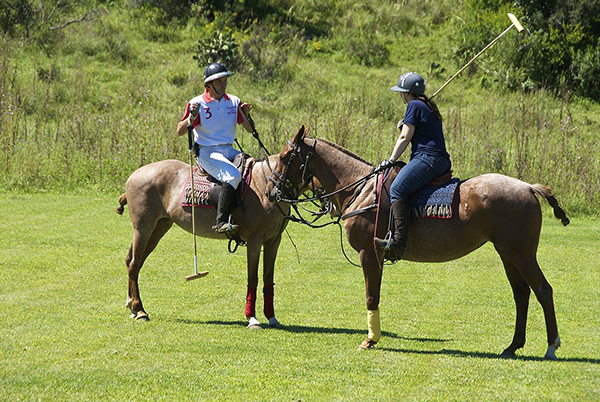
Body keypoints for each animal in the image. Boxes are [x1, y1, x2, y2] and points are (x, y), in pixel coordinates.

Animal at [116, 155, 290, 328]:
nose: (272, 193)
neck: (262, 185)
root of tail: (132, 176)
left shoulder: (274, 240)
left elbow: (268, 277)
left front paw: (272, 318)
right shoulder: (255, 240)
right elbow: (252, 278)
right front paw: (252, 319)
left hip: (159, 227)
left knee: (132, 261)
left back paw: (132, 306)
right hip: (143, 228)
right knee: (134, 263)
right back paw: (140, 310)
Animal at [266, 126, 568, 362]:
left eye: (284, 156)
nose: (271, 191)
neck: (359, 188)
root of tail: (528, 187)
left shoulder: (368, 253)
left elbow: (371, 296)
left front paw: (370, 340)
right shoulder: (377, 255)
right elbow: (375, 294)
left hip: (522, 253)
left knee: (543, 290)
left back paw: (551, 346)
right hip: (507, 253)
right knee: (521, 293)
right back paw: (513, 346)